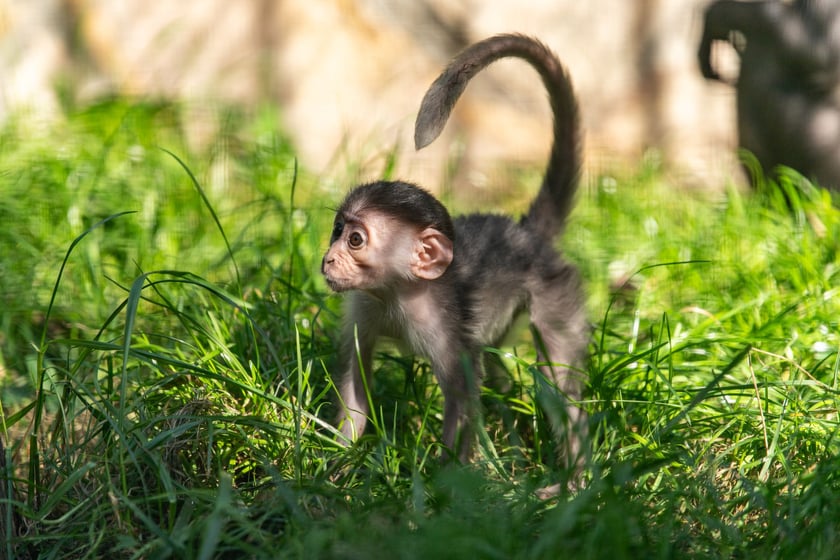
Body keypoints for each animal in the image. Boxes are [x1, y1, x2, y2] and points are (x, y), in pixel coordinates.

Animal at [322, 32, 592, 466]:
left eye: (356, 240)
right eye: (337, 230)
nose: (329, 259)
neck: (399, 292)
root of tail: (525, 235)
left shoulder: (442, 322)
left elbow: (462, 401)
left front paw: (445, 479)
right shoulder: (365, 305)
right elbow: (354, 387)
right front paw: (336, 464)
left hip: (555, 292)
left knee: (559, 384)